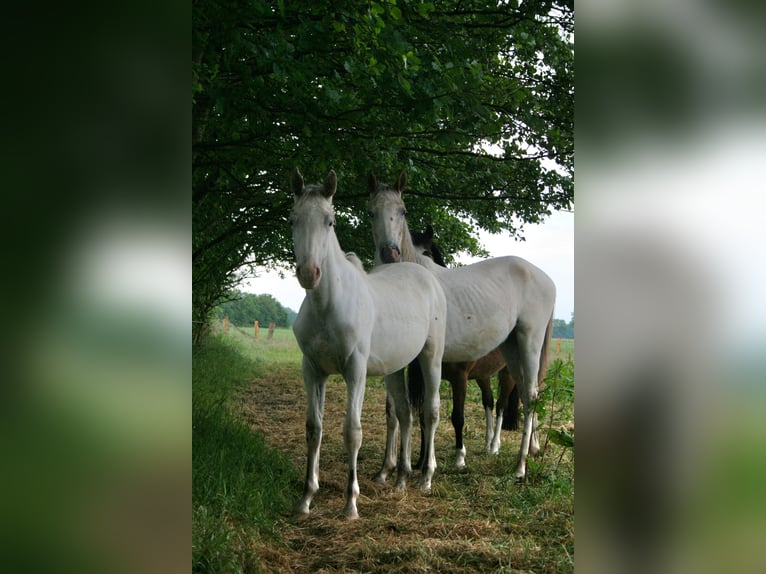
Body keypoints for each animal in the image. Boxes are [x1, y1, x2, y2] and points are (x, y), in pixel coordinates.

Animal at [292, 169, 448, 520]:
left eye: (330, 221)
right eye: (293, 219)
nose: (309, 273)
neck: (328, 304)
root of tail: (426, 275)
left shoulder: (355, 370)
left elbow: (353, 432)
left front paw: (350, 504)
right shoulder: (312, 370)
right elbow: (313, 429)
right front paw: (307, 498)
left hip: (431, 358)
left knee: (430, 411)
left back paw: (426, 478)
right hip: (395, 368)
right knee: (404, 413)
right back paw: (401, 478)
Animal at [368, 173, 556, 484]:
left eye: (403, 211)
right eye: (371, 212)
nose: (390, 253)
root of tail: (545, 278)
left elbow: (432, 411)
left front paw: (428, 469)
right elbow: (395, 410)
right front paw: (388, 469)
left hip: (529, 342)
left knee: (529, 396)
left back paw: (520, 466)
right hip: (511, 350)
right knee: (525, 396)